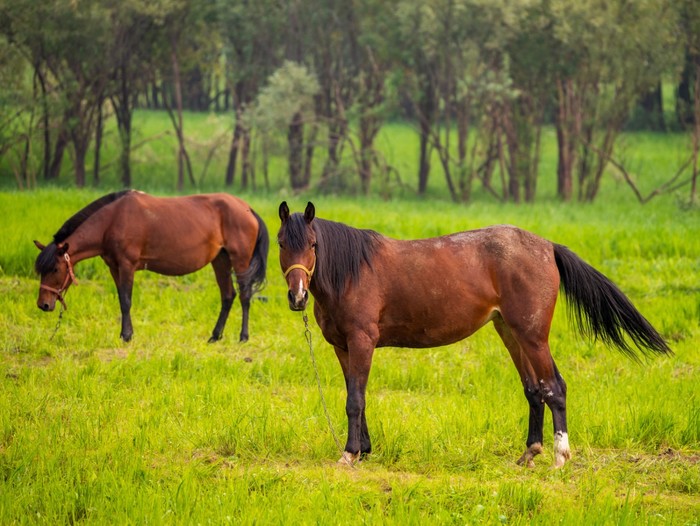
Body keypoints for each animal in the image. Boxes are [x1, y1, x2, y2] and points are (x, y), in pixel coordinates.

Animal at [32, 192, 270, 344]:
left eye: (55, 270)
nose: (43, 304)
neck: (112, 220)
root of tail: (248, 209)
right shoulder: (114, 267)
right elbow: (121, 300)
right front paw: (125, 334)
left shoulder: (127, 265)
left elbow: (126, 301)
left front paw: (127, 336)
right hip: (220, 260)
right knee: (228, 296)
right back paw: (215, 336)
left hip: (240, 260)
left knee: (245, 296)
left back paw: (243, 337)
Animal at [278, 202, 672, 470]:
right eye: (282, 243)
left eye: (312, 244)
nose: (297, 296)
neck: (353, 272)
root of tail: (547, 246)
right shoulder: (343, 347)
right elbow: (356, 397)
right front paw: (363, 449)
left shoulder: (362, 342)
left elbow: (355, 400)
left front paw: (349, 454)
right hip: (511, 333)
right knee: (534, 389)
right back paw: (530, 452)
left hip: (533, 336)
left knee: (554, 387)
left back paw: (560, 457)